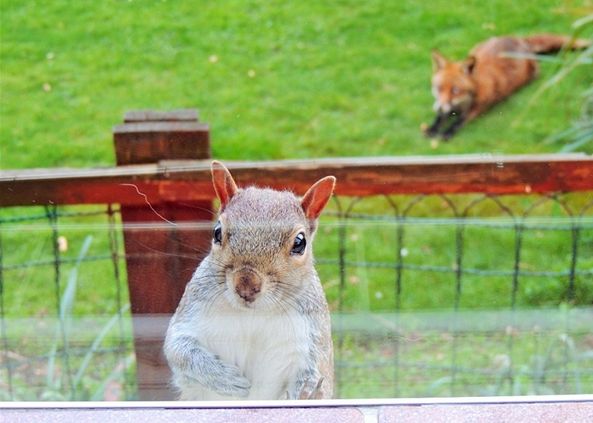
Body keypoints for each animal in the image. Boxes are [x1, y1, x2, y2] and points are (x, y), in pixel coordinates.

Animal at [164, 161, 336, 400]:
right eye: (217, 232)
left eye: (300, 243)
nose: (246, 285)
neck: (255, 313)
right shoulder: (191, 313)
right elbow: (179, 348)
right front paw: (227, 379)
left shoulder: (313, 339)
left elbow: (315, 378)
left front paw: (304, 395)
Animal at [424, 34, 588, 141]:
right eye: (439, 88)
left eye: (455, 90)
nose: (440, 107)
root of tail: (519, 39)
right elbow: (440, 117)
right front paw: (433, 128)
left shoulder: (477, 108)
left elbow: (459, 121)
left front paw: (447, 133)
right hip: (476, 50)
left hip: (533, 73)